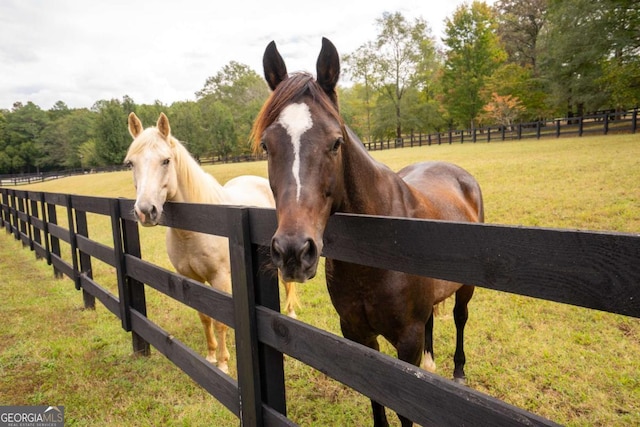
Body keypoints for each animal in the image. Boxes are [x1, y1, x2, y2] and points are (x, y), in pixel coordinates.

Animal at [125, 111, 300, 374]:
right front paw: (209, 356)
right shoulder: (192, 279)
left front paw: (223, 364)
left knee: (287, 284)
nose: (146, 211)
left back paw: (290, 314)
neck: (199, 227)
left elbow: (220, 322)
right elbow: (205, 316)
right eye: (131, 163)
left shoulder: (219, 278)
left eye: (166, 161)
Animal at [252, 38, 482, 426]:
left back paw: (459, 372)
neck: (375, 251)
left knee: (460, 317)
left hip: (465, 289)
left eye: (335, 142)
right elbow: (376, 397)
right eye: (268, 145)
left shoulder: (406, 341)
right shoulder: (356, 333)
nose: (293, 252)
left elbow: (404, 409)